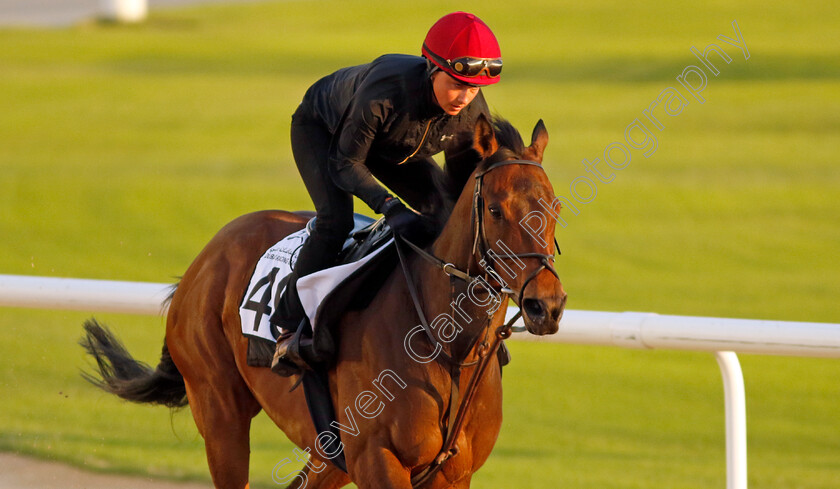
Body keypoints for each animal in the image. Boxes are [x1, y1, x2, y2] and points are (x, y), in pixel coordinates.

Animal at [80, 115, 564, 488]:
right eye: (496, 209)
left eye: (554, 207)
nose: (547, 305)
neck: (448, 347)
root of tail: (203, 261)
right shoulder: (377, 459)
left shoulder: (452, 472)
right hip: (219, 411)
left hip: (328, 454)